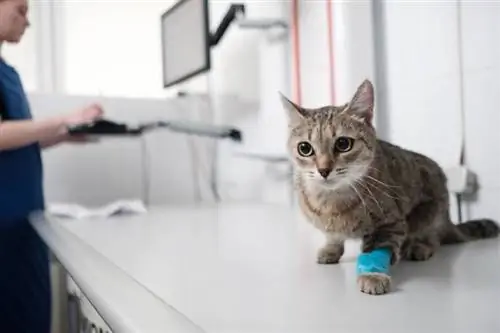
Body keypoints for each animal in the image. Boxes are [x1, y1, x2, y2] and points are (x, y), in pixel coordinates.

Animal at [280, 79, 498, 294]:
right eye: (304, 148)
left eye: (343, 144)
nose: (323, 170)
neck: (332, 203)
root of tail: (449, 220)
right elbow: (333, 237)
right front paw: (331, 248)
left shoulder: (391, 223)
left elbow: (377, 248)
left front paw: (373, 274)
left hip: (431, 211)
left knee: (434, 236)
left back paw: (420, 246)